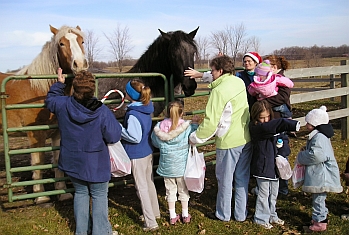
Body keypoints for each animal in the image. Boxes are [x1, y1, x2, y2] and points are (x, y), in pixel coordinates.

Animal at [0, 24, 87, 204]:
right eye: (61, 44)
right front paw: (41, 196)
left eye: (82, 41)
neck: (40, 89)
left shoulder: (58, 132)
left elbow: (57, 159)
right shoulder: (36, 135)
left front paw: (62, 193)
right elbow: (38, 162)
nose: (80, 64)